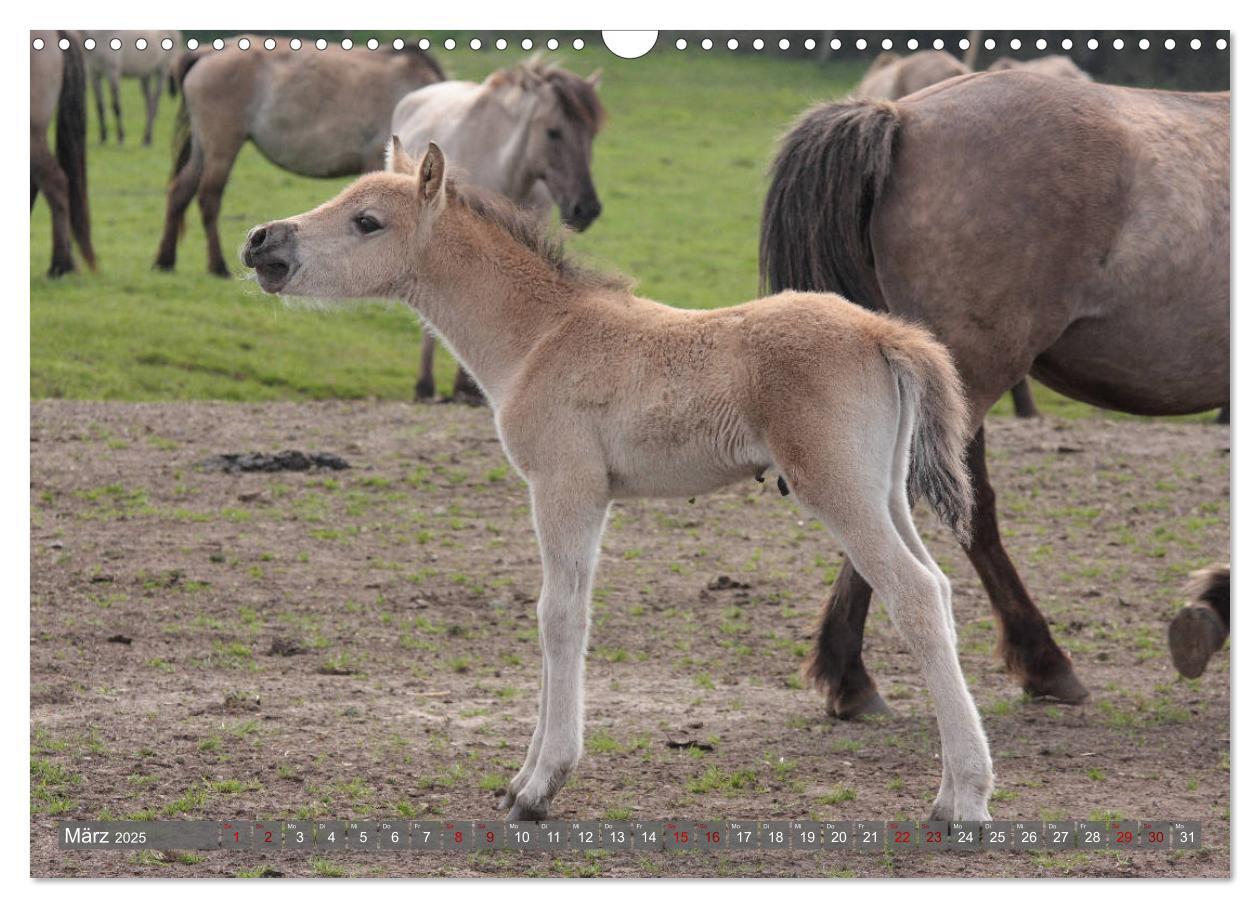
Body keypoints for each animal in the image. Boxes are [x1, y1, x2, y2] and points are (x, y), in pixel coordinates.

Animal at [155, 37, 446, 275]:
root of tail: (208, 52)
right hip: (222, 146)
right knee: (209, 197)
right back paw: (217, 266)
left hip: (202, 147)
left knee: (181, 190)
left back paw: (165, 261)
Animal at [240, 139, 992, 821]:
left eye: (367, 220)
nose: (260, 240)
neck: (541, 336)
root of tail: (882, 334)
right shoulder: (587, 495)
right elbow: (558, 612)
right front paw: (521, 779)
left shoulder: (564, 486)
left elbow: (559, 616)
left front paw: (540, 787)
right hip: (885, 493)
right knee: (939, 589)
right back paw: (949, 791)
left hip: (838, 490)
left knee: (915, 595)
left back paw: (967, 798)